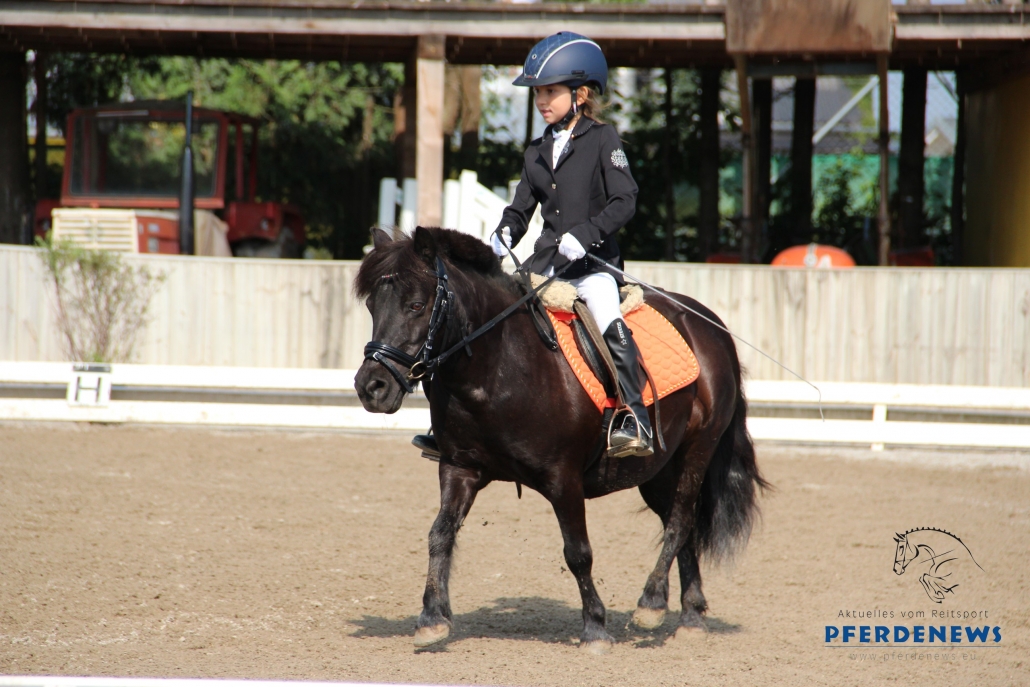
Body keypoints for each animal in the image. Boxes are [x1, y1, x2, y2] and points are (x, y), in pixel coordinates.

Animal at [354, 226, 767, 653]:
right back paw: (690, 614)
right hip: (656, 469)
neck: (495, 367)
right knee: (678, 522)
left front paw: (596, 628)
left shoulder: (562, 478)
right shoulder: (459, 467)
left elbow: (578, 552)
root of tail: (709, 324)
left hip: (699, 448)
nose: (371, 388)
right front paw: (432, 618)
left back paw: (651, 603)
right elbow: (440, 533)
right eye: (371, 306)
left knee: (682, 519)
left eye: (417, 305)